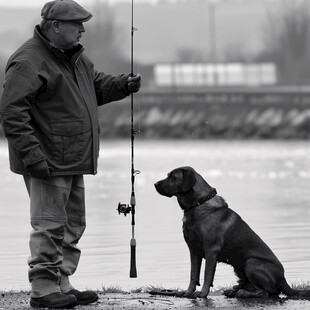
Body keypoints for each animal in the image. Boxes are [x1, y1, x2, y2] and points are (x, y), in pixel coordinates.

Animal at [155, 168, 310, 300]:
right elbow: (193, 275)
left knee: (268, 292)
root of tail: (283, 279)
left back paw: (244, 293)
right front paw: (187, 293)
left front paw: (202, 294)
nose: (155, 184)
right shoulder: (193, 251)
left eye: (172, 177)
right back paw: (235, 291)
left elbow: (206, 275)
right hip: (239, 267)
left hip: (251, 263)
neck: (198, 205)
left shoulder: (211, 250)